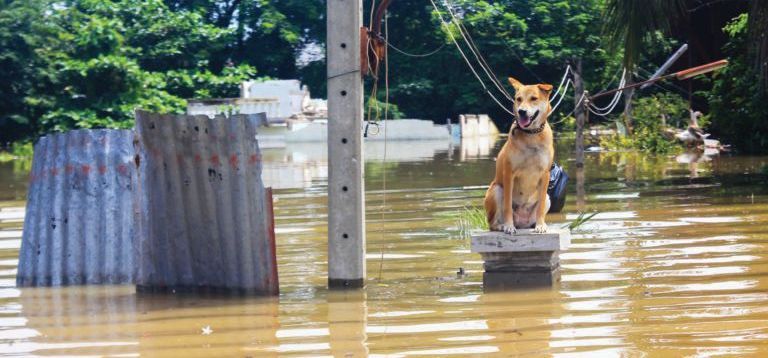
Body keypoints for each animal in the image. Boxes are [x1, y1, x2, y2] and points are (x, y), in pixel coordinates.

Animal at [486, 77, 552, 235]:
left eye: (534, 98)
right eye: (518, 99)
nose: (522, 111)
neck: (532, 135)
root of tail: (522, 223)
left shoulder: (545, 174)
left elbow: (540, 206)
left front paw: (541, 225)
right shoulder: (509, 173)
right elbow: (508, 205)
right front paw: (509, 226)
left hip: (548, 198)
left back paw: (535, 224)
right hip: (496, 190)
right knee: (492, 223)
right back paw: (502, 226)